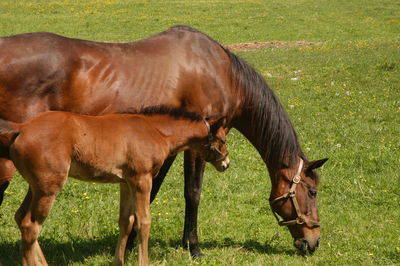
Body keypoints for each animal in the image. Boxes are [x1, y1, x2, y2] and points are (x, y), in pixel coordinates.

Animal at [0, 107, 228, 264]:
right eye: (223, 140)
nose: (226, 163)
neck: (155, 131)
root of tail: (21, 129)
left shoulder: (126, 183)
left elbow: (126, 221)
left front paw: (118, 262)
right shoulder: (142, 180)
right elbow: (143, 222)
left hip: (36, 187)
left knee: (21, 219)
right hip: (48, 189)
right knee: (31, 226)